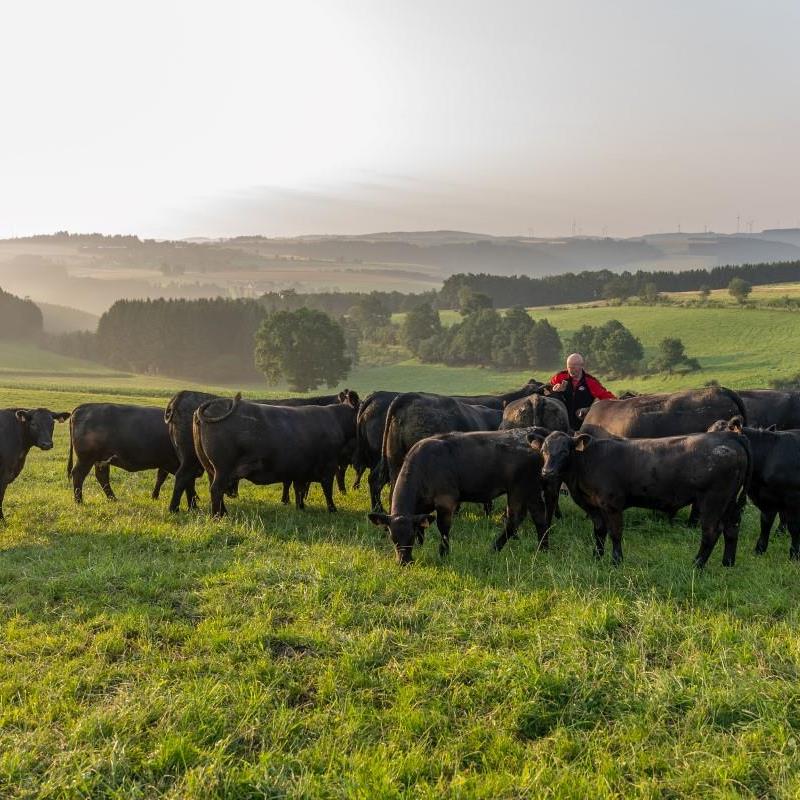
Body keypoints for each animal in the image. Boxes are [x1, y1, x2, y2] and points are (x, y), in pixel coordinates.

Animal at [164, 390, 358, 512]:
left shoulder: (299, 467)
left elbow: (297, 486)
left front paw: (297, 505)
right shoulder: (329, 465)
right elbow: (324, 488)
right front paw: (332, 509)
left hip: (206, 465)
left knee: (200, 484)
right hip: (205, 463)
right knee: (198, 483)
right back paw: (193, 511)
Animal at [368, 428, 552, 564]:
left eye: (410, 537)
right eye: (392, 538)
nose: (404, 562)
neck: (425, 467)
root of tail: (532, 440)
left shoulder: (445, 500)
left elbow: (443, 527)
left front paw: (443, 553)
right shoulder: (421, 508)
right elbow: (421, 525)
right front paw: (422, 545)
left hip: (519, 489)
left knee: (515, 519)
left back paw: (494, 548)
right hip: (531, 490)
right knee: (538, 516)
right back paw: (543, 548)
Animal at [536, 432, 752, 568]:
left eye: (565, 451)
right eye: (543, 451)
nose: (547, 472)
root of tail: (729, 436)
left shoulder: (612, 504)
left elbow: (615, 533)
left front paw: (616, 562)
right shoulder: (593, 506)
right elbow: (599, 531)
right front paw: (597, 557)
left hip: (713, 500)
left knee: (711, 532)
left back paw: (697, 565)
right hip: (730, 502)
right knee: (732, 528)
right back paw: (727, 563)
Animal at [708, 416, 800, 560]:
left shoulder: (793, 499)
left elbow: (794, 527)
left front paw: (794, 555)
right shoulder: (767, 499)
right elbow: (765, 523)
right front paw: (759, 550)